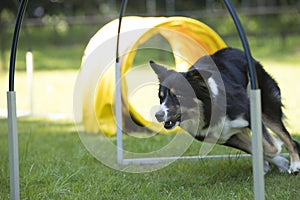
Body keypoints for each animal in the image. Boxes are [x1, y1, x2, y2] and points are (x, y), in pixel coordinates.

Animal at [150, 47, 300, 174]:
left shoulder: (248, 113)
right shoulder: (224, 136)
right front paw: (277, 163)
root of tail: (236, 50)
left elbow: (270, 147)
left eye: (179, 96)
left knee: (289, 138)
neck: (208, 109)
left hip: (266, 105)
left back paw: (295, 165)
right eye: (161, 97)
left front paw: (279, 157)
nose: (158, 115)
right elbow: (256, 148)